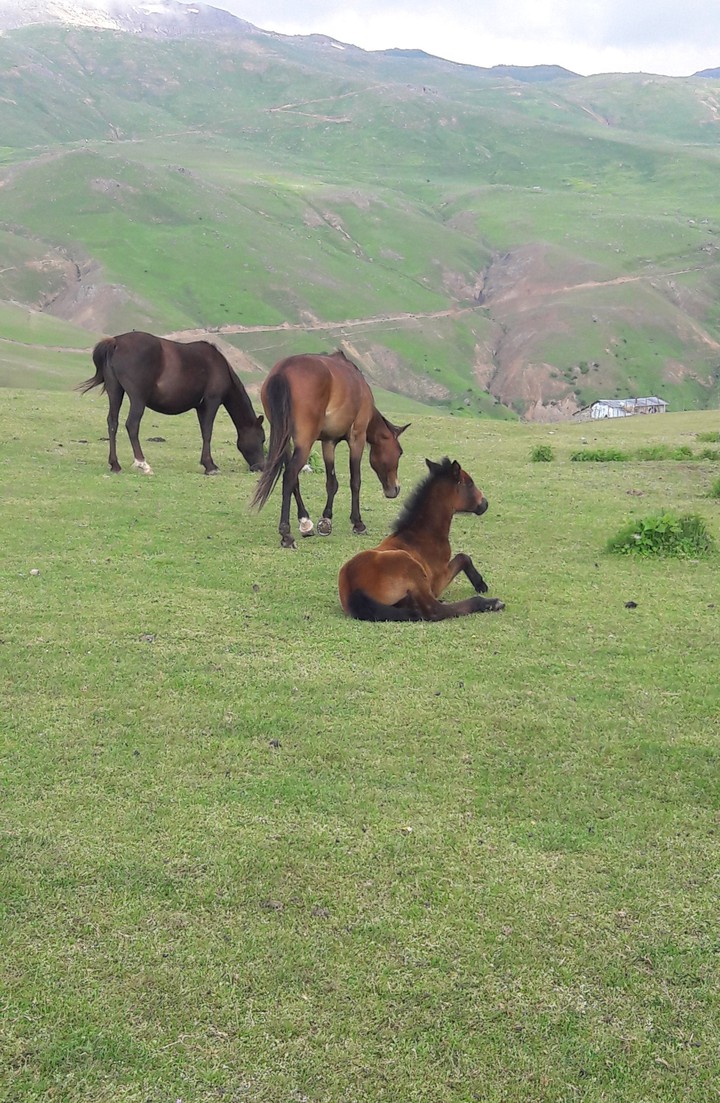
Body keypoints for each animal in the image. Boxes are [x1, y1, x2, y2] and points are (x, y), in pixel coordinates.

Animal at [77, 331, 265, 475]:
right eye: (262, 438)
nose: (260, 467)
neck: (218, 365)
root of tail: (115, 342)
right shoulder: (211, 403)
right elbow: (207, 433)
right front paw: (210, 465)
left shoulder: (200, 407)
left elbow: (204, 432)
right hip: (138, 398)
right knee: (132, 424)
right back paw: (142, 464)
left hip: (115, 391)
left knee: (112, 423)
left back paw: (115, 464)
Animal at [252, 349, 410, 548]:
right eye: (399, 453)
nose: (395, 489)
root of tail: (283, 371)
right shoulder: (357, 437)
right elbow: (355, 480)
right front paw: (358, 523)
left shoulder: (328, 441)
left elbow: (331, 482)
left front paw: (326, 520)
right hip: (304, 442)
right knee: (289, 476)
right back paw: (286, 534)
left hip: (285, 440)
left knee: (294, 479)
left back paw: (305, 522)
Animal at [338, 457, 504, 621]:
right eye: (469, 484)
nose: (485, 503)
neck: (422, 533)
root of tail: (350, 588)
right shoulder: (439, 579)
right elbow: (463, 557)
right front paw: (481, 585)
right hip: (411, 568)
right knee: (434, 610)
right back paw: (491, 603)